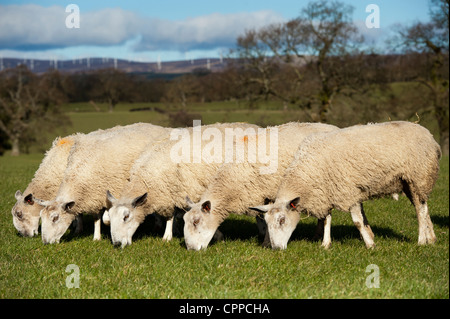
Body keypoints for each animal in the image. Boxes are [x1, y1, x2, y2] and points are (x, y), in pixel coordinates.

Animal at [37, 123, 169, 245]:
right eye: (41, 217)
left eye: (55, 218)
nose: (45, 242)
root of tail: (157, 126)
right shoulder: (94, 196)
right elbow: (96, 218)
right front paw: (96, 237)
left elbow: (106, 217)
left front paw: (109, 223)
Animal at [103, 121, 258, 249]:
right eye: (110, 217)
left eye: (126, 216)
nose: (117, 244)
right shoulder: (170, 192)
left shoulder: (181, 191)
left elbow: (175, 215)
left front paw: (167, 237)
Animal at [182, 121, 338, 251]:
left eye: (196, 222)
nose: (191, 250)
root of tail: (332, 126)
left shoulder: (269, 192)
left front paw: (266, 242)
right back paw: (317, 235)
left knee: (327, 214)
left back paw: (325, 242)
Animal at [253, 121, 442, 251]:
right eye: (266, 222)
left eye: (282, 220)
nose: (276, 249)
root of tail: (429, 135)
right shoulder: (326, 191)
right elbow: (327, 219)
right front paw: (326, 244)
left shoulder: (349, 190)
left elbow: (358, 222)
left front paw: (370, 244)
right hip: (409, 182)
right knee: (423, 206)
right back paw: (431, 239)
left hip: (418, 176)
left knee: (420, 209)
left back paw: (421, 240)